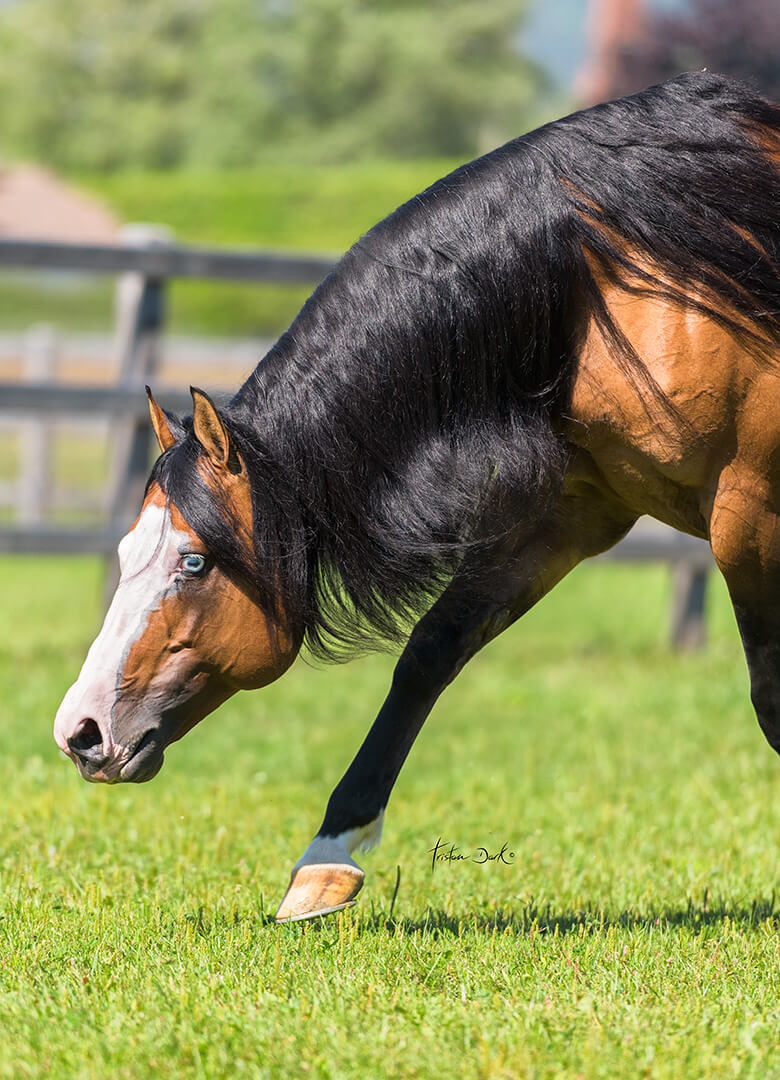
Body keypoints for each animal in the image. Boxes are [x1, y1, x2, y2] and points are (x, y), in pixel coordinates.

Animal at [54, 73, 780, 922]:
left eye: (194, 562)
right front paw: (324, 865)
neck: (627, 281)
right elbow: (430, 653)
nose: (80, 731)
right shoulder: (567, 515)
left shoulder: (748, 516)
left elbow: (769, 695)